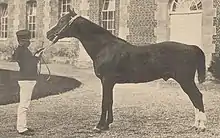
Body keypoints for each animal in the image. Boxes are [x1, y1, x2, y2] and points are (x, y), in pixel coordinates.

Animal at [46, 7, 206, 133]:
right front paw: (107, 124)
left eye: (62, 21)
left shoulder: (106, 80)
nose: (48, 34)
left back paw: (201, 126)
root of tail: (191, 47)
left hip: (185, 81)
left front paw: (99, 126)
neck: (104, 47)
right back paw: (196, 125)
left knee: (197, 97)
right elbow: (110, 101)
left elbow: (105, 101)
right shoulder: (110, 83)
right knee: (195, 98)